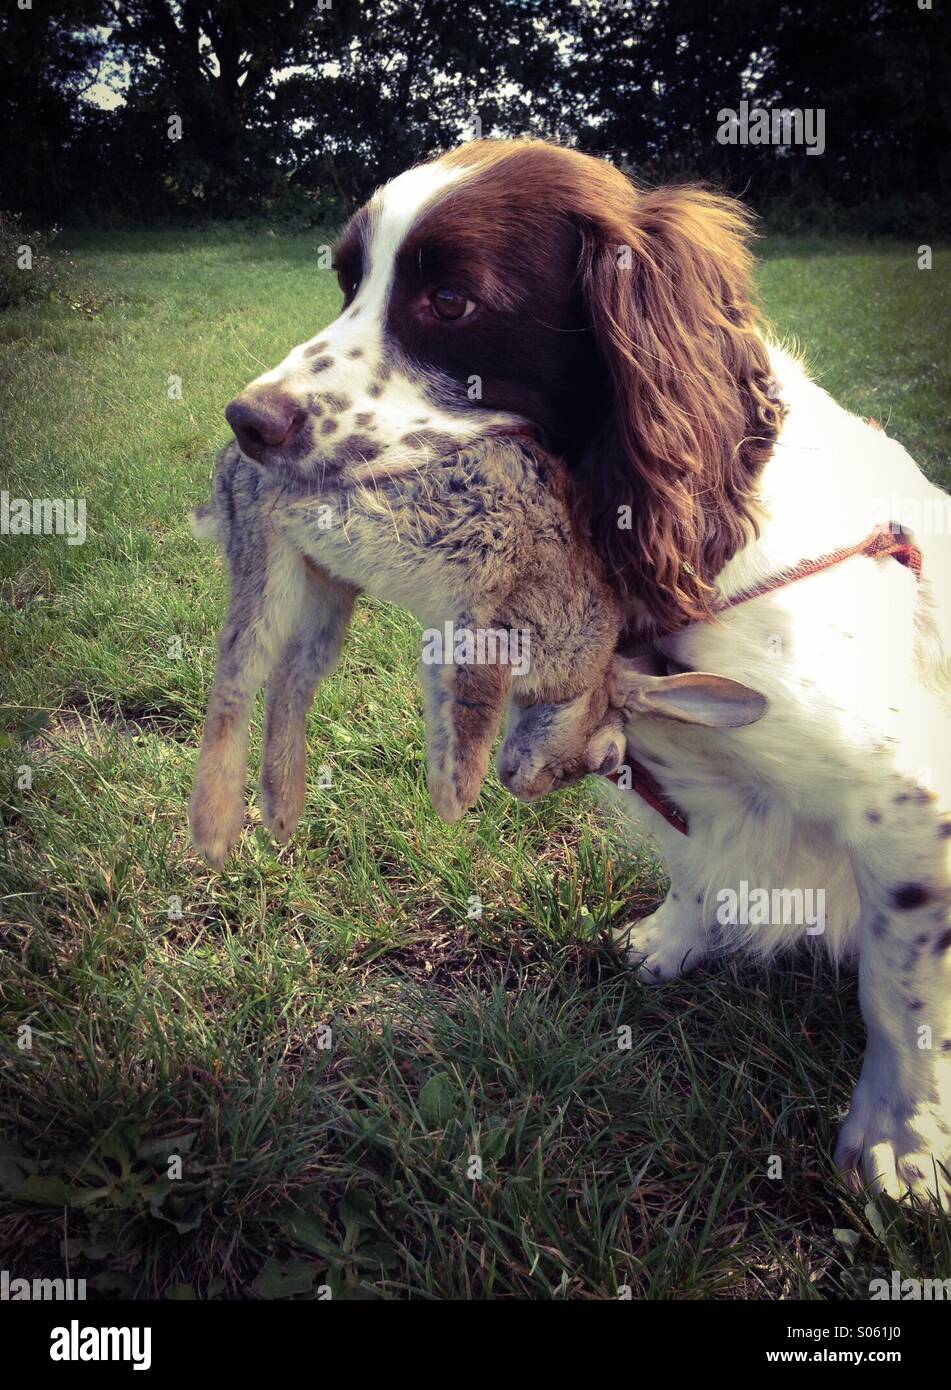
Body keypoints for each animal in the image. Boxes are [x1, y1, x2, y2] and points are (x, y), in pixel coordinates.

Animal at [188, 437, 766, 868]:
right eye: (607, 758)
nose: (523, 790)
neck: (587, 677)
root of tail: (227, 467)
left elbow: (449, 711)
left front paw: (444, 793)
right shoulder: (499, 627)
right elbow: (477, 710)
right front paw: (456, 801)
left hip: (328, 586)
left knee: (291, 678)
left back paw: (282, 814)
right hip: (270, 566)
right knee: (236, 678)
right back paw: (214, 835)